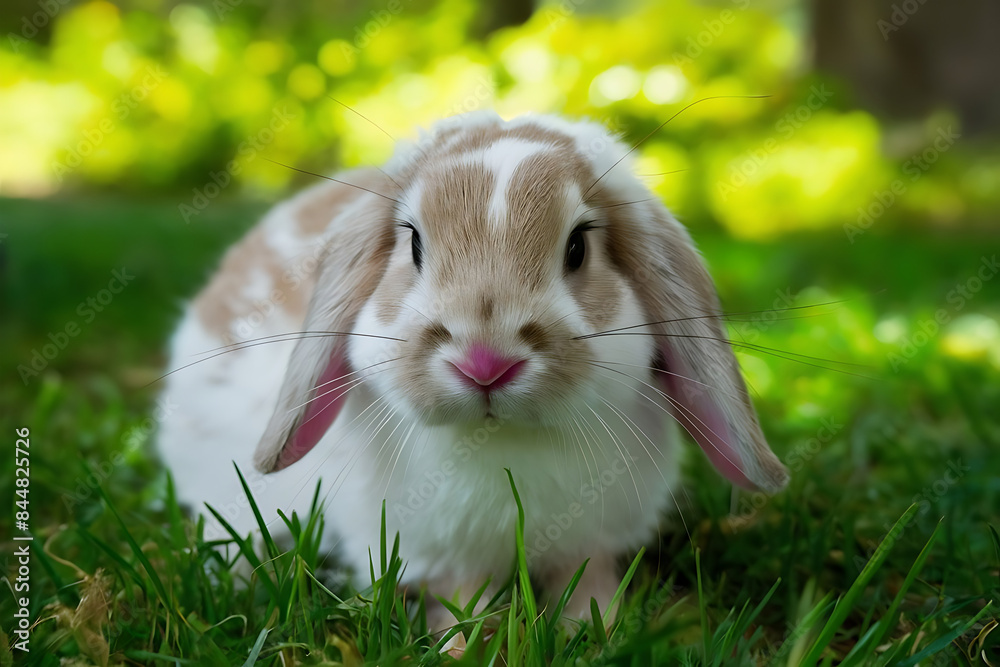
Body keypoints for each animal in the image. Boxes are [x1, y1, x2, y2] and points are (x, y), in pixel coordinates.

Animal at [158, 108, 788, 628]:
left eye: (578, 247)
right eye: (413, 242)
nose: (486, 361)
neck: (502, 443)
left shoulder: (590, 543)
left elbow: (590, 585)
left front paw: (601, 633)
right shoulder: (441, 555)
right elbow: (465, 601)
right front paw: (461, 647)